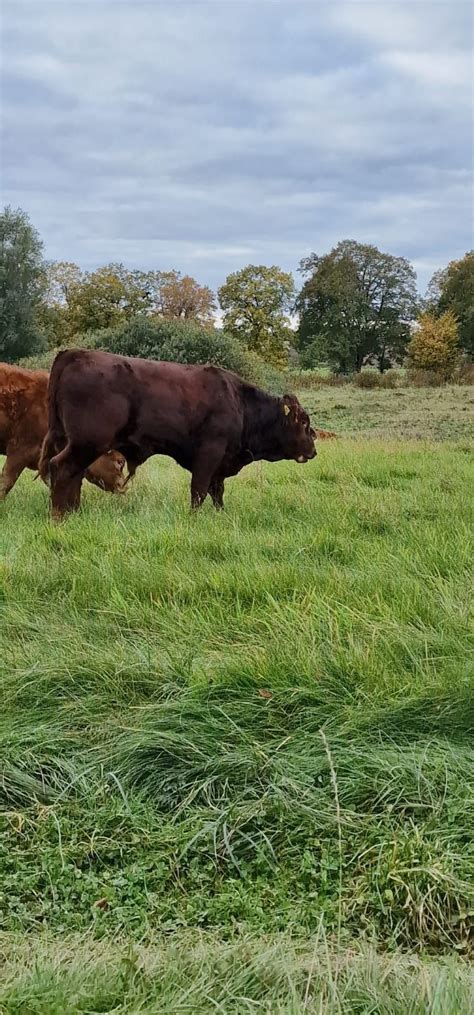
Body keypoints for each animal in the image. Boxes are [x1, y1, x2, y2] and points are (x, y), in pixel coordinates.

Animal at [39, 351, 316, 523]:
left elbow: (217, 493)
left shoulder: (219, 464)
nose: (313, 450)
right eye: (303, 422)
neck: (239, 403)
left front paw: (220, 515)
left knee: (74, 476)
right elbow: (199, 491)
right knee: (61, 468)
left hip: (76, 444)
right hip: (86, 444)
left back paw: (73, 512)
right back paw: (59, 516)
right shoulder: (208, 455)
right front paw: (193, 519)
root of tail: (73, 354)